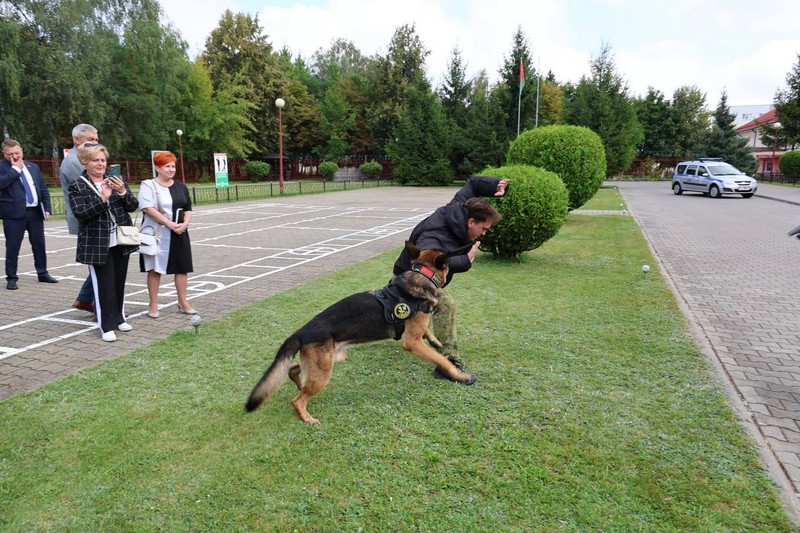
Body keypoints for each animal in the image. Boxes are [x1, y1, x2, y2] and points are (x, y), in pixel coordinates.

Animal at [244, 241, 476, 424]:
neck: (421, 275)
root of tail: (301, 331)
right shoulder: (412, 342)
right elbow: (441, 359)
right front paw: (460, 375)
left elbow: (429, 333)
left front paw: (436, 340)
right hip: (324, 371)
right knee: (297, 399)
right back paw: (307, 417)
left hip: (328, 360)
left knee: (293, 369)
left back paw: (300, 384)